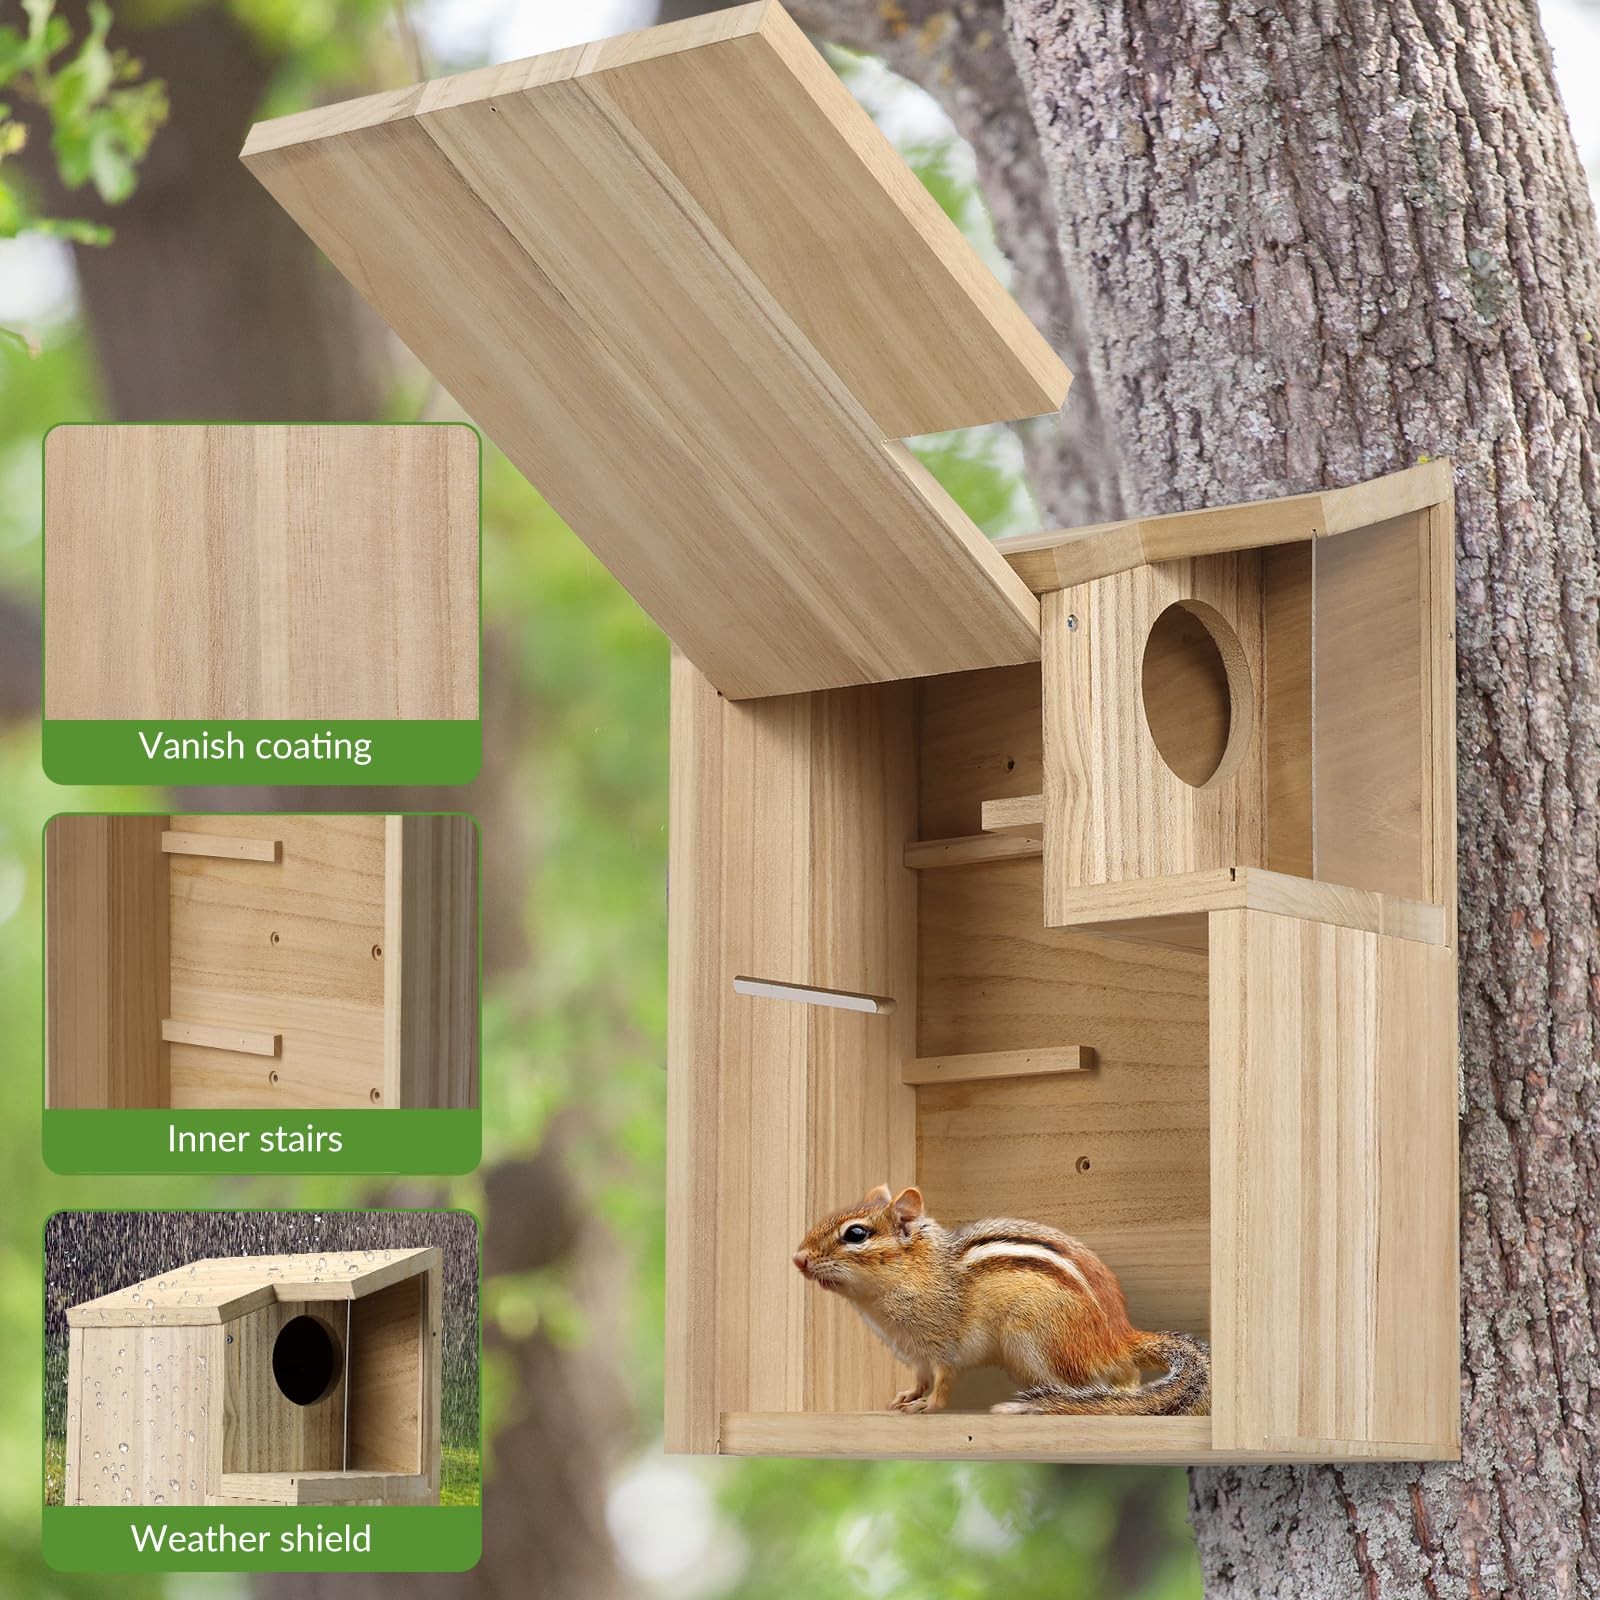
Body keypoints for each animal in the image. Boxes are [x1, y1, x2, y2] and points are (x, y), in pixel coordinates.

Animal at [792, 1183, 1209, 1417]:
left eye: (856, 1234)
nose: (798, 1259)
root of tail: (1119, 1337)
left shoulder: (946, 1347)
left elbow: (943, 1382)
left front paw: (928, 1406)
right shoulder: (916, 1354)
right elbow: (921, 1379)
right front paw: (907, 1396)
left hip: (1036, 1340)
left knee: (1103, 1386)